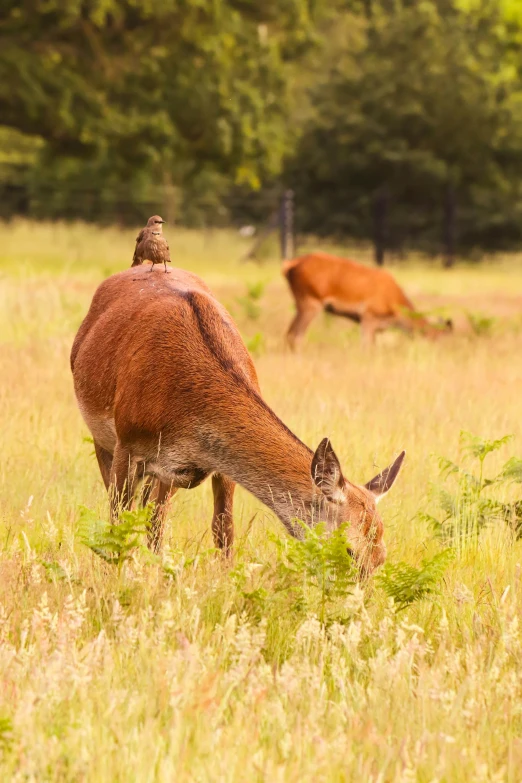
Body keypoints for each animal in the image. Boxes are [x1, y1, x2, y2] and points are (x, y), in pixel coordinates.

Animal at [70, 264, 402, 576]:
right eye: (348, 550)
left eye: (382, 557)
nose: (356, 594)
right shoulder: (128, 444)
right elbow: (117, 524)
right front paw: (117, 575)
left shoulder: (215, 464)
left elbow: (223, 529)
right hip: (102, 438)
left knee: (156, 518)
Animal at [282, 251, 448, 350]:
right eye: (436, 339)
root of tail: (289, 266)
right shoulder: (369, 316)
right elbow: (367, 347)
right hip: (310, 301)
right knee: (295, 335)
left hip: (300, 303)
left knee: (289, 333)